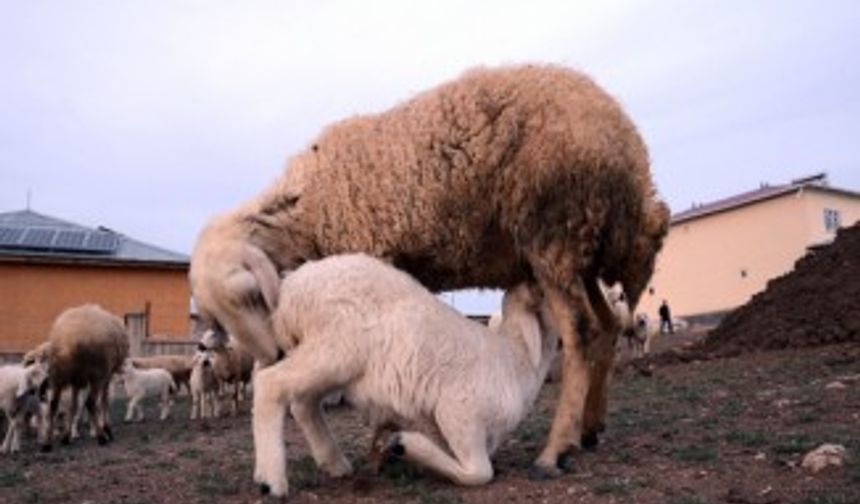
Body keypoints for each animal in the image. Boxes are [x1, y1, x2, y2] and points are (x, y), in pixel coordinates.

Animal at [38, 304, 127, 448]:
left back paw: (47, 443)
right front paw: (107, 429)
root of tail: (70, 341)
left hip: (57, 375)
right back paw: (101, 437)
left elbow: (73, 406)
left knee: (53, 404)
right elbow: (104, 401)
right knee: (90, 402)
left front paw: (67, 436)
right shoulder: (106, 375)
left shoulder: (76, 380)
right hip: (97, 375)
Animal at [254, 256, 564, 496]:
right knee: (271, 384)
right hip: (335, 350)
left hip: (328, 360)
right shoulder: (460, 414)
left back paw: (333, 464)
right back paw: (272, 481)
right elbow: (480, 472)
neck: (515, 359)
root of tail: (292, 285)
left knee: (302, 403)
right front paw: (405, 445)